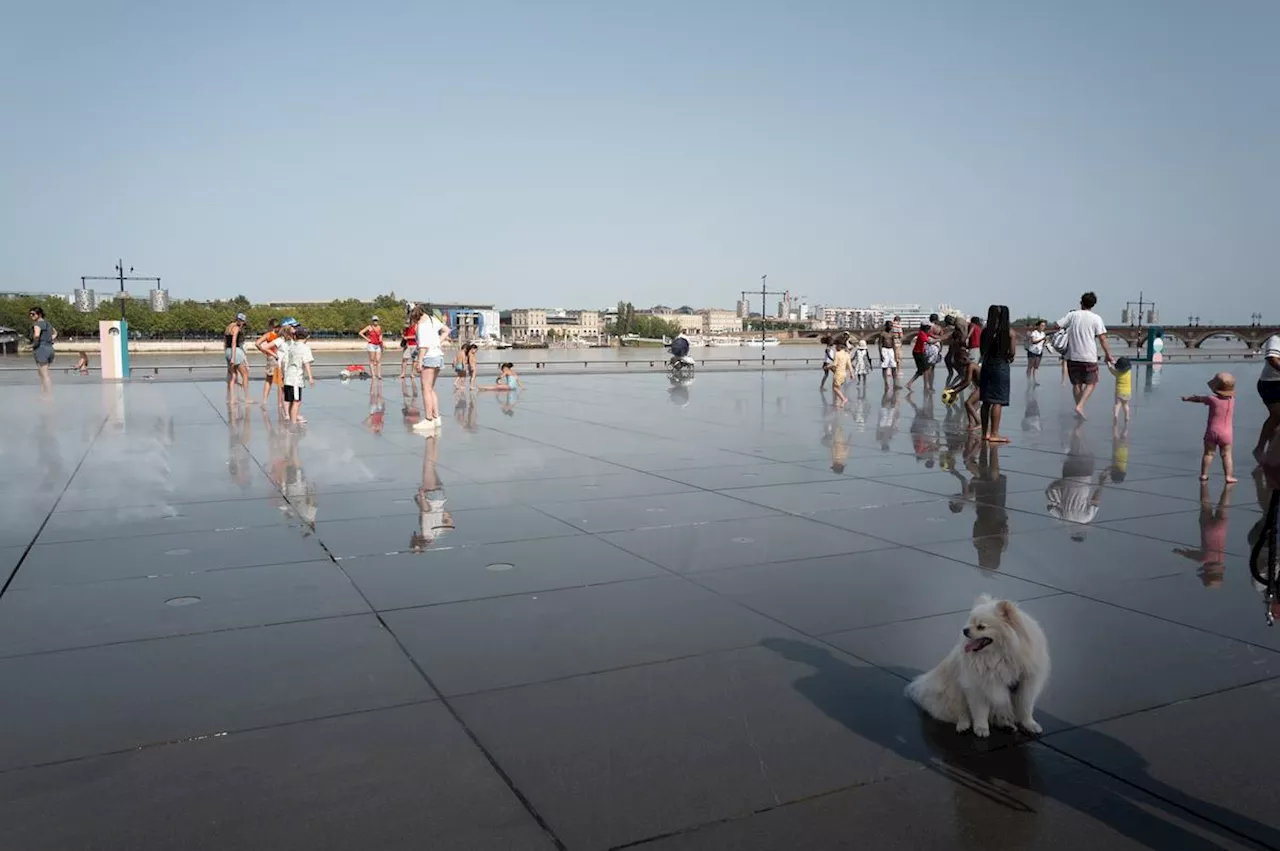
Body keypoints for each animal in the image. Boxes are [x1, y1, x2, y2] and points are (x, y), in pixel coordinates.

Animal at [901, 591, 1049, 737]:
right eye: (970, 622)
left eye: (981, 626)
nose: (964, 630)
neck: (1000, 656)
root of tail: (923, 684)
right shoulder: (978, 687)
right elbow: (980, 711)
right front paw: (981, 728)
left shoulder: (1026, 684)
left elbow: (1026, 708)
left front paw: (1030, 724)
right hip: (954, 694)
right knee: (960, 713)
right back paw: (964, 726)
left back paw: (1007, 724)